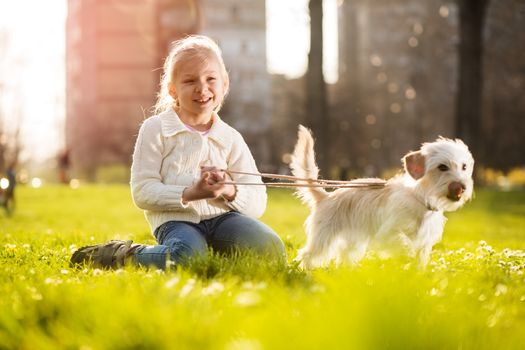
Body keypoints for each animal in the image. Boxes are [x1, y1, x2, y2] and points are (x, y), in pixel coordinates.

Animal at [290, 126, 474, 268]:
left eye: (464, 166)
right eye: (442, 167)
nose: (461, 187)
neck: (421, 200)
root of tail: (326, 197)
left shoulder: (424, 243)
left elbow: (419, 261)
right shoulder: (389, 233)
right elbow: (405, 245)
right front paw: (406, 259)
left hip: (353, 241)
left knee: (343, 256)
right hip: (323, 239)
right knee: (307, 255)